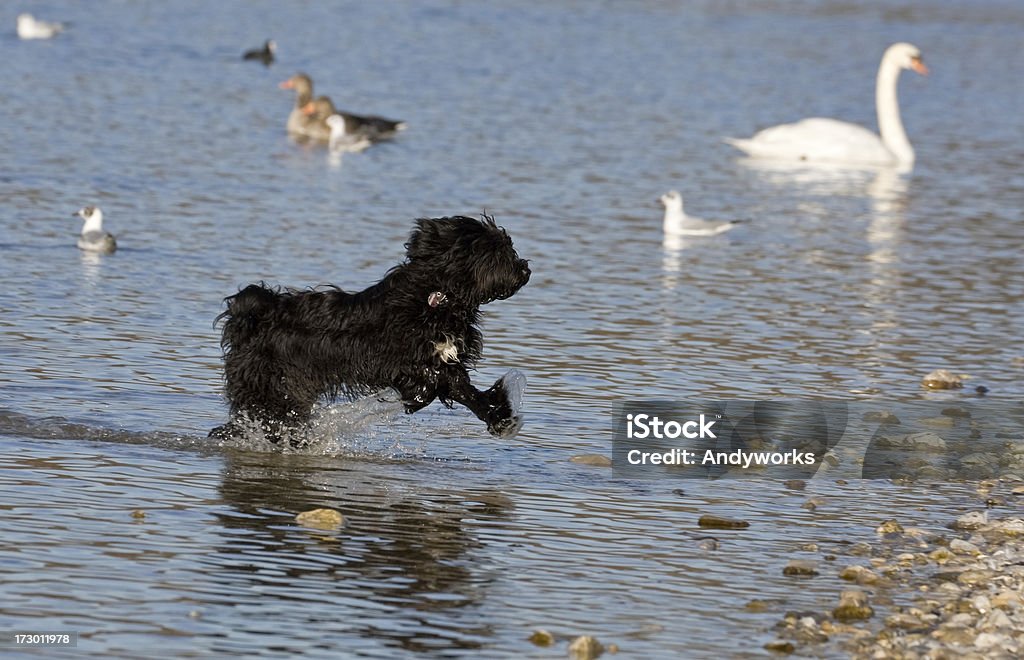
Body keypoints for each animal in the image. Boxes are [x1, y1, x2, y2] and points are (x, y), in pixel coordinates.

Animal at [206, 215, 528, 442]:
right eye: (496, 253)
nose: (525, 269)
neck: (439, 298)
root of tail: (251, 313)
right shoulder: (394, 355)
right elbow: (433, 379)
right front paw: (416, 398)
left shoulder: (446, 357)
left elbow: (463, 388)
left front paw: (499, 415)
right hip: (270, 384)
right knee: (260, 417)